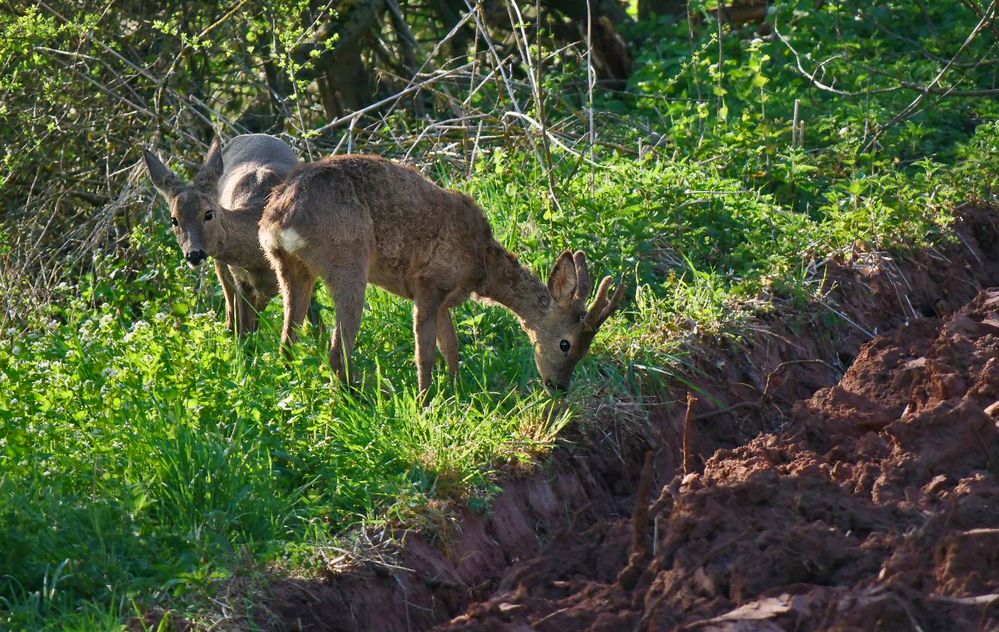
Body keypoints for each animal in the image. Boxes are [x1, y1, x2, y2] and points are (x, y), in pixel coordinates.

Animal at [143, 134, 316, 336]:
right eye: (174, 220)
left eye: (208, 213)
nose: (194, 254)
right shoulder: (241, 279)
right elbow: (244, 334)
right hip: (223, 269)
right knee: (231, 316)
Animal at [260, 154, 624, 390]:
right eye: (565, 344)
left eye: (586, 348)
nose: (558, 387)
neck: (480, 264)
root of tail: (281, 216)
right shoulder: (429, 284)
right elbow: (426, 354)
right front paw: (425, 402)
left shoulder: (446, 298)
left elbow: (451, 347)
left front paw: (457, 391)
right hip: (348, 262)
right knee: (337, 352)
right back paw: (367, 396)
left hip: (287, 267)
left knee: (287, 340)